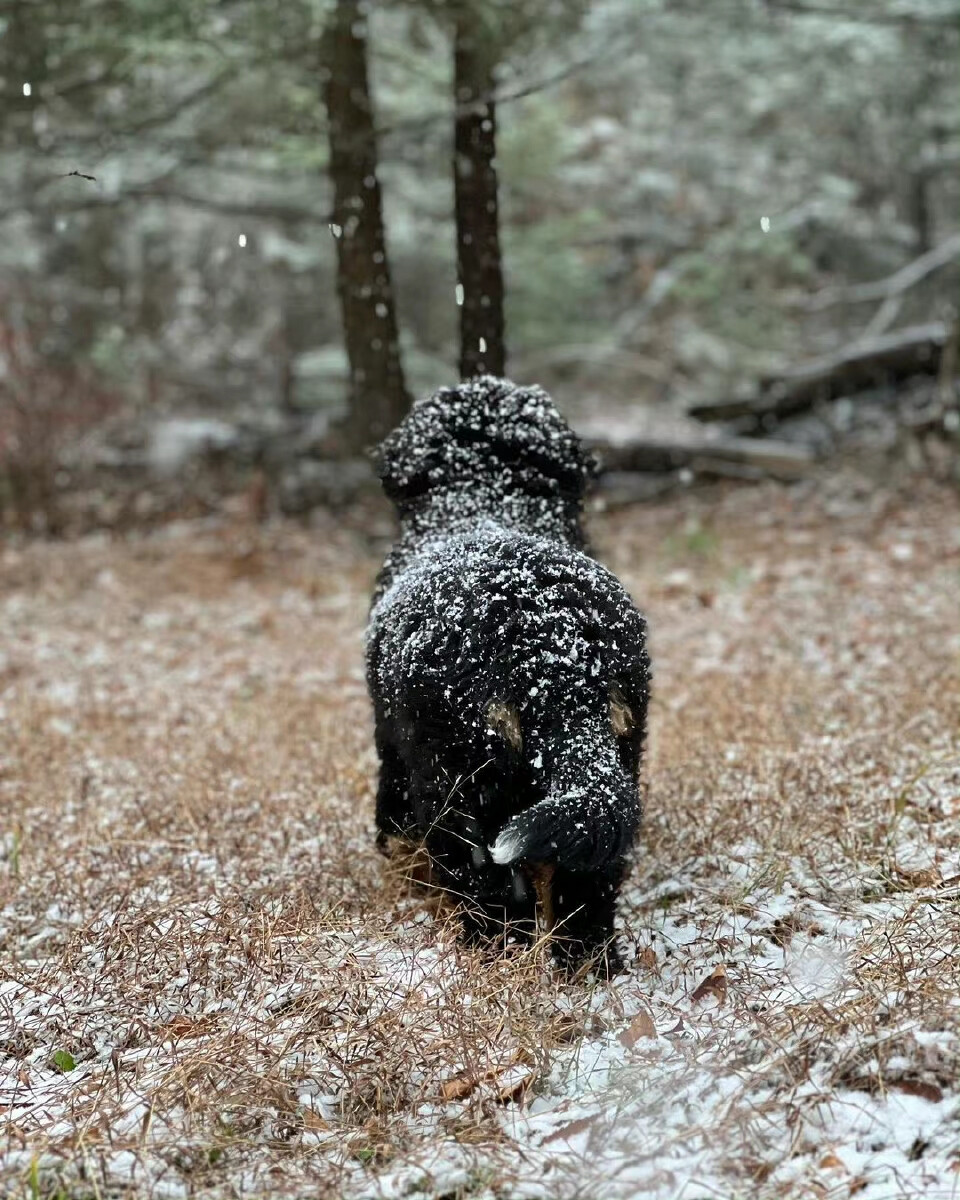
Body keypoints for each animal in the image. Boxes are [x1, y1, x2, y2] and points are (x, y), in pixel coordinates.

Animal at [364, 376, 648, 974]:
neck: (485, 500)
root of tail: (551, 647)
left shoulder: (392, 740)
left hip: (454, 775)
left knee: (482, 879)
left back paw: (492, 955)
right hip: (620, 750)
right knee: (591, 876)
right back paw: (588, 964)